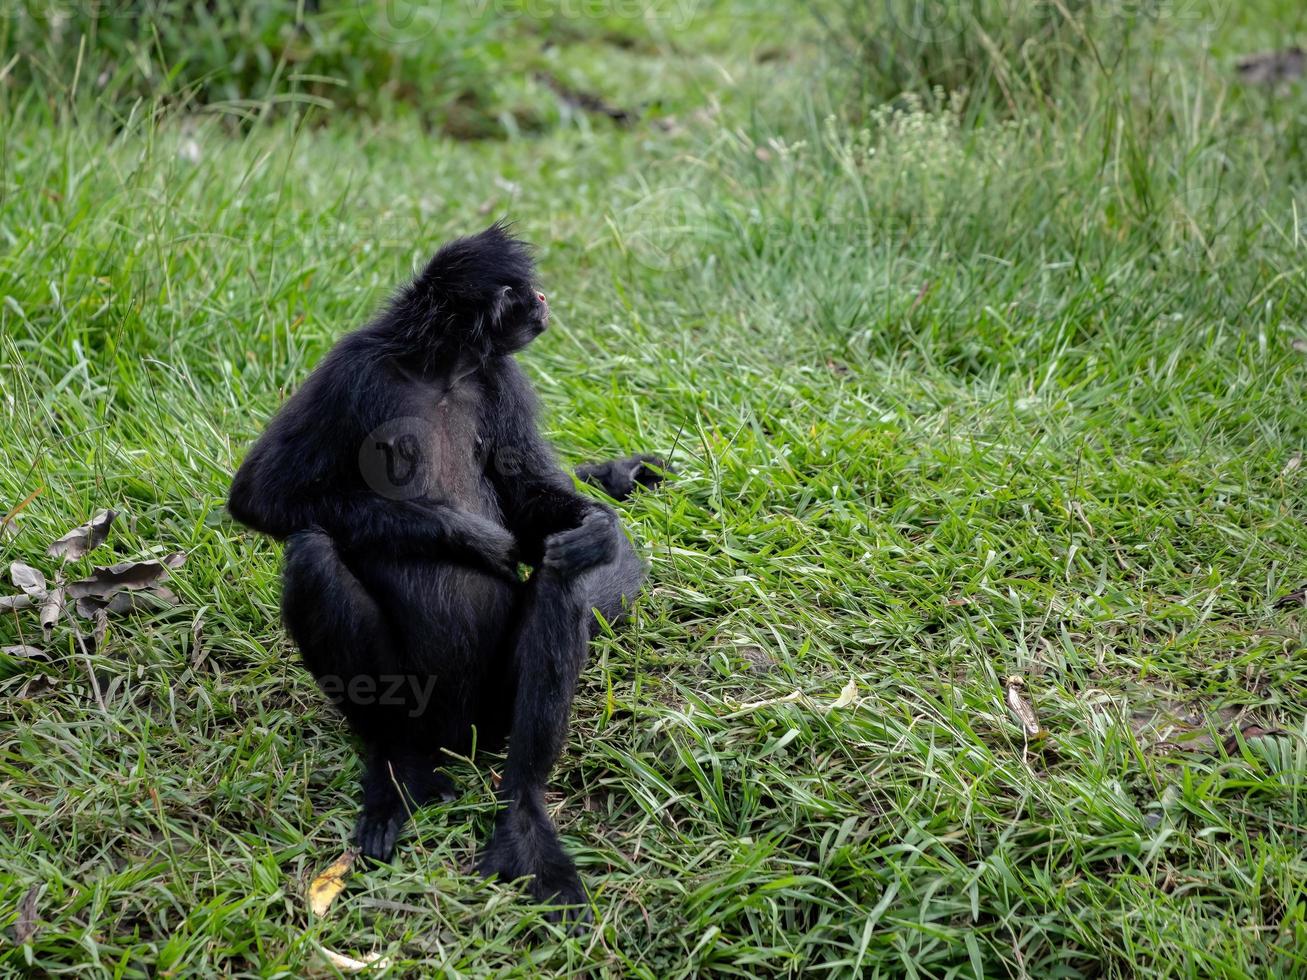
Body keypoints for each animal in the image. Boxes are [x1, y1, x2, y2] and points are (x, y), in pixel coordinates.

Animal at [223, 222, 663, 919]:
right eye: (523, 290)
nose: (543, 300)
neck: (443, 374)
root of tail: (455, 732)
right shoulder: (352, 365)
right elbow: (260, 494)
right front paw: (468, 537)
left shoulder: (502, 378)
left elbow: (542, 517)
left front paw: (597, 527)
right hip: (413, 698)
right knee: (313, 551)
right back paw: (397, 770)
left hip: (492, 709)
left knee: (563, 577)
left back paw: (521, 812)